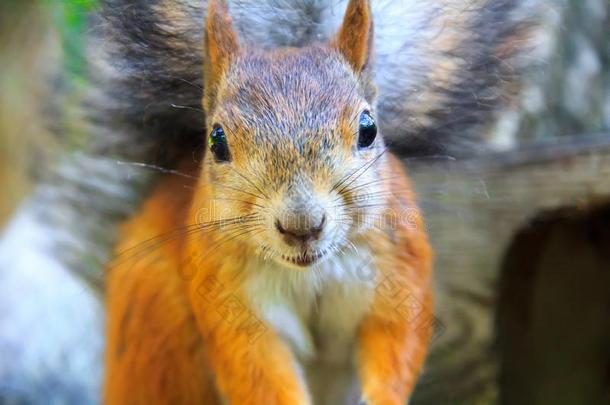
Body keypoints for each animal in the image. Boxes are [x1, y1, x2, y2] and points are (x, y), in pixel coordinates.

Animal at [102, 1, 430, 402]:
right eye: (217, 141)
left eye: (368, 129)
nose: (302, 225)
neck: (309, 272)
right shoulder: (229, 299)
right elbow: (255, 371)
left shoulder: (397, 269)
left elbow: (397, 337)